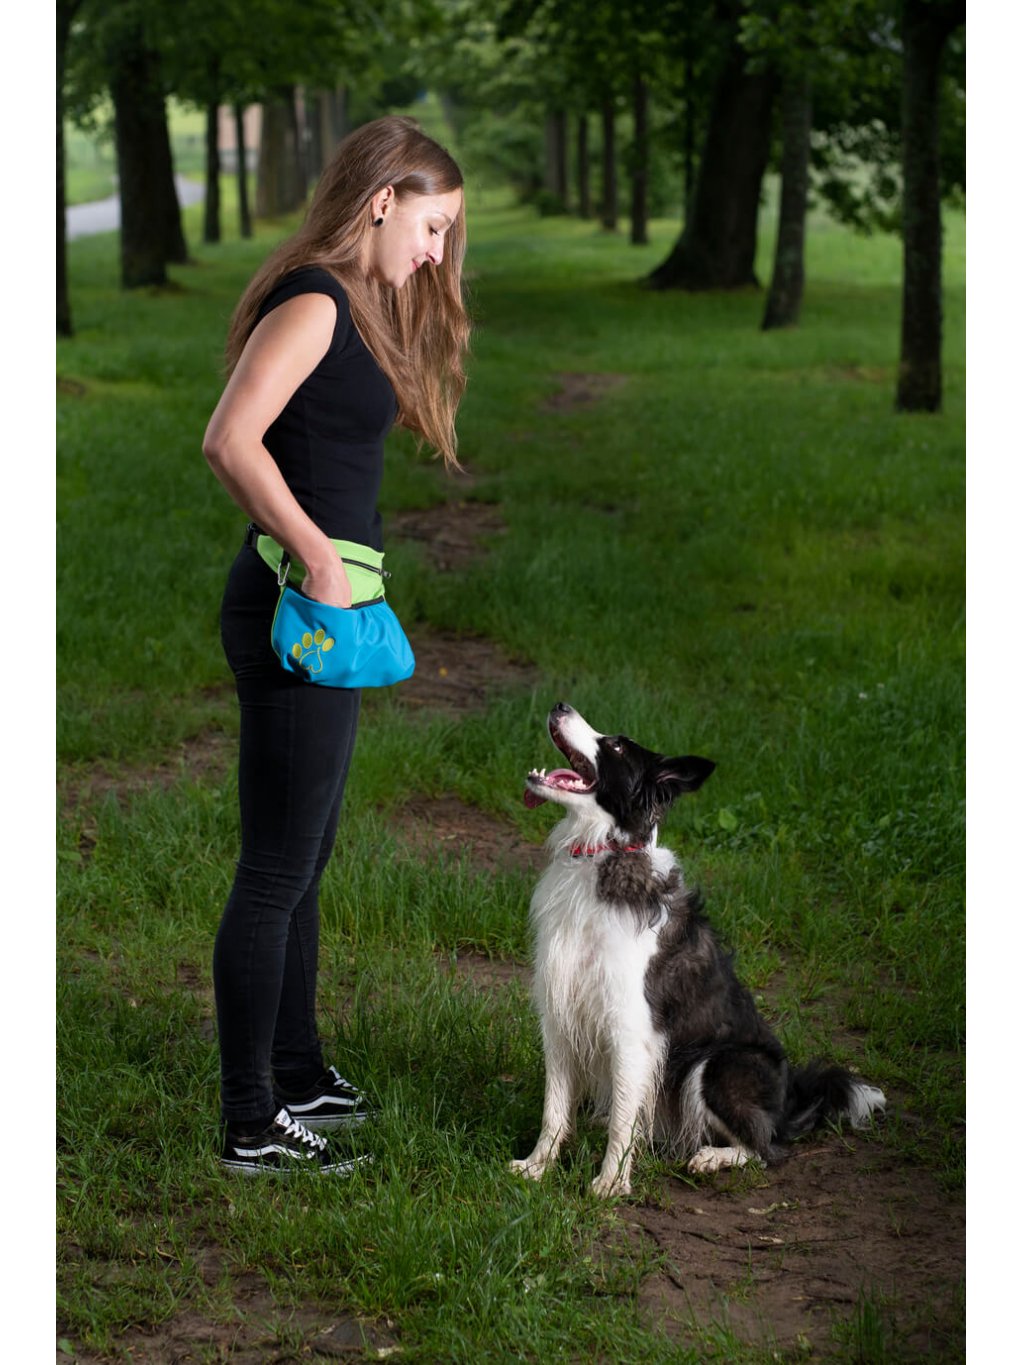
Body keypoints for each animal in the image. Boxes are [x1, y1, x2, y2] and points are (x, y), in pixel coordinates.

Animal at [513, 704, 890, 1195]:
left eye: (616, 747)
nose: (560, 706)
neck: (602, 856)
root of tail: (789, 1103)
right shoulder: (560, 1015)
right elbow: (554, 1108)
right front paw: (537, 1167)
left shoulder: (631, 1029)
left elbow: (621, 1121)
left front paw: (610, 1185)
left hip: (716, 1064)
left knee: (766, 1150)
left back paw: (712, 1158)